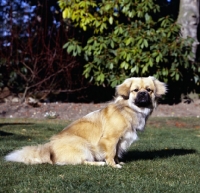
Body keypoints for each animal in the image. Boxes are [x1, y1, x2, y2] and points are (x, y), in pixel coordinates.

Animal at [5, 76, 166, 167]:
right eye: (135, 90)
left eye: (149, 90)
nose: (143, 94)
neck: (129, 109)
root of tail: (49, 149)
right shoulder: (110, 139)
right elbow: (111, 153)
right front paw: (113, 165)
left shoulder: (120, 140)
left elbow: (116, 153)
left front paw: (117, 162)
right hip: (82, 145)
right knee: (81, 162)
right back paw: (99, 164)